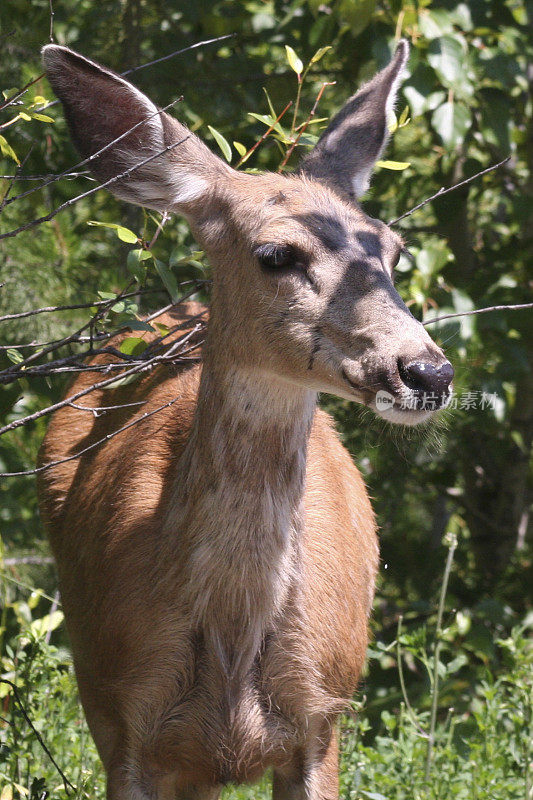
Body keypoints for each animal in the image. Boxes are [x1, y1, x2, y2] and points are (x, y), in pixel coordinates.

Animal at [38, 39, 454, 800]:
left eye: (392, 250)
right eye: (275, 254)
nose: (427, 372)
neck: (232, 638)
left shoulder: (323, 716)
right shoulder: (121, 718)